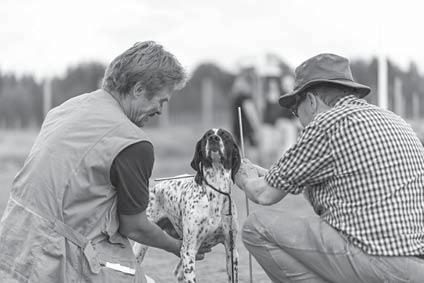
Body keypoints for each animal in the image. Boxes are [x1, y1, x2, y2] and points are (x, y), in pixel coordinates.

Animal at [132, 129, 240, 283]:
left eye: (225, 135)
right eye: (206, 136)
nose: (213, 138)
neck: (215, 190)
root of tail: (154, 187)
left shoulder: (231, 251)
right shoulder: (189, 251)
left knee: (178, 273)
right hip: (142, 243)